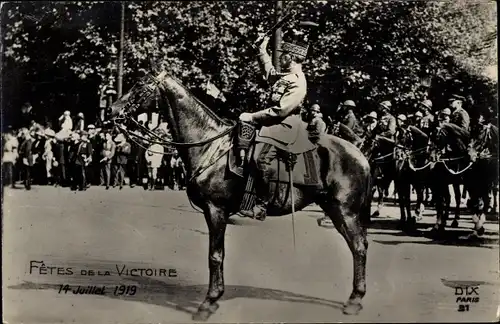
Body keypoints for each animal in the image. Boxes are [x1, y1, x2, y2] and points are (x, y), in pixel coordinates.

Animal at [109, 69, 374, 322]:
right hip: (334, 209)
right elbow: (217, 255)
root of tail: (360, 155)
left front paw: (209, 302)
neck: (210, 147)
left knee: (359, 246)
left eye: (140, 84)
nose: (112, 110)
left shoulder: (215, 210)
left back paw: (355, 300)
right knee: (357, 246)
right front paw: (214, 298)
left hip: (345, 211)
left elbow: (215, 255)